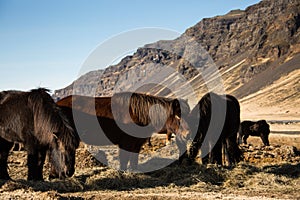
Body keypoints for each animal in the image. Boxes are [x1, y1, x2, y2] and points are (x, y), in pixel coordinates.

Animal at [56, 92, 190, 170]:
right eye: (178, 116)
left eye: (187, 114)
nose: (187, 135)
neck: (139, 113)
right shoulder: (126, 143)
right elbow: (124, 161)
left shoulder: (137, 144)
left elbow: (134, 161)